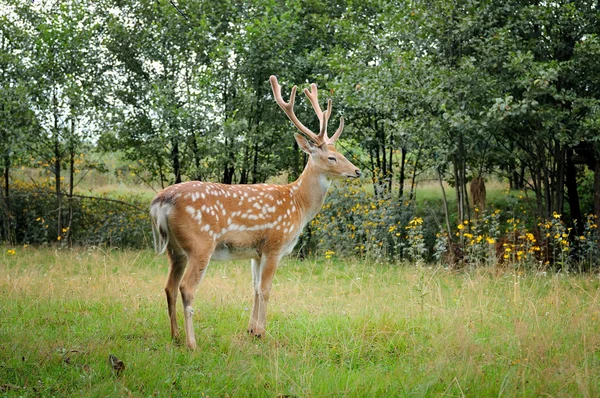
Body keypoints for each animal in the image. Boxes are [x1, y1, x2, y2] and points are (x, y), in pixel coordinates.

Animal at [150, 74, 360, 348]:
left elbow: (254, 288)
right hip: (200, 243)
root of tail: (161, 200)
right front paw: (262, 332)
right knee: (187, 288)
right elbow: (266, 289)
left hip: (175, 248)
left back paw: (175, 336)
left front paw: (251, 330)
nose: (357, 171)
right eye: (332, 157)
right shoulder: (274, 244)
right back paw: (192, 343)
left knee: (169, 287)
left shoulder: (255, 252)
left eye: (341, 152)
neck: (299, 204)